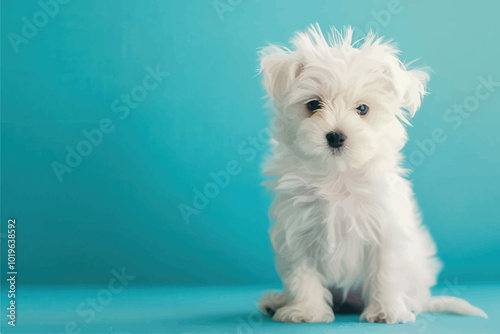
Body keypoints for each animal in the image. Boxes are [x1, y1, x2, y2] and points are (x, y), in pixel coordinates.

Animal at [260, 25, 486, 324]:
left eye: (363, 109)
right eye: (313, 105)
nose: (335, 136)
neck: (338, 175)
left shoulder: (385, 229)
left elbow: (385, 272)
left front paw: (386, 311)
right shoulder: (296, 232)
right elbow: (302, 275)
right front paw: (306, 310)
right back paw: (276, 301)